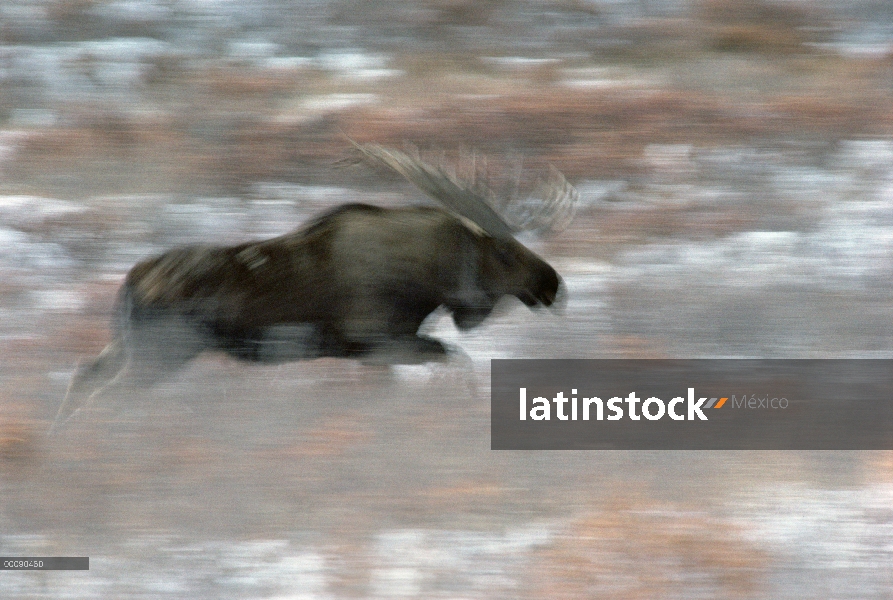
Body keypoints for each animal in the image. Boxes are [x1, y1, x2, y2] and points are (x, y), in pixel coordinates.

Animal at [50, 142, 580, 432]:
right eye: (505, 253)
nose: (552, 283)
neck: (429, 277)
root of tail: (128, 284)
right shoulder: (378, 340)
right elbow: (460, 363)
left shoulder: (372, 353)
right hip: (161, 352)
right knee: (103, 397)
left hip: (127, 345)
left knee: (81, 377)